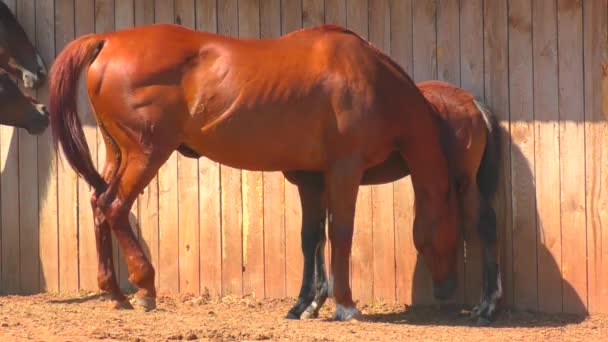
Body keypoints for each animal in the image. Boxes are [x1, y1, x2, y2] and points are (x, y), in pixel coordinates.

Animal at [48, 24, 460, 320]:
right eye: (452, 231)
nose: (449, 290)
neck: (370, 79)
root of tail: (108, 40)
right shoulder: (345, 169)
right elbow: (340, 233)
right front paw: (344, 304)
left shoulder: (311, 178)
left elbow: (311, 238)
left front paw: (306, 305)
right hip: (146, 153)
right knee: (115, 206)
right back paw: (145, 288)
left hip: (117, 153)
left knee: (98, 204)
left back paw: (115, 293)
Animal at [288, 80, 502, 326]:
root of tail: (472, 103)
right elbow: (321, 240)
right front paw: (314, 303)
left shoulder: (309, 184)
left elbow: (311, 240)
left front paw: (305, 304)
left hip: (463, 183)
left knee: (487, 225)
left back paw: (487, 307)